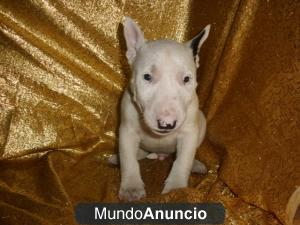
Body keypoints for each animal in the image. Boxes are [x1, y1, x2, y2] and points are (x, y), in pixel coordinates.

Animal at [113, 16, 210, 201]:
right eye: (147, 77)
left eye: (186, 79)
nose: (166, 123)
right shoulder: (127, 131)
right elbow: (128, 159)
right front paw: (131, 188)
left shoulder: (189, 133)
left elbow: (182, 161)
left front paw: (177, 189)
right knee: (137, 154)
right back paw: (118, 158)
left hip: (201, 122)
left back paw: (196, 164)